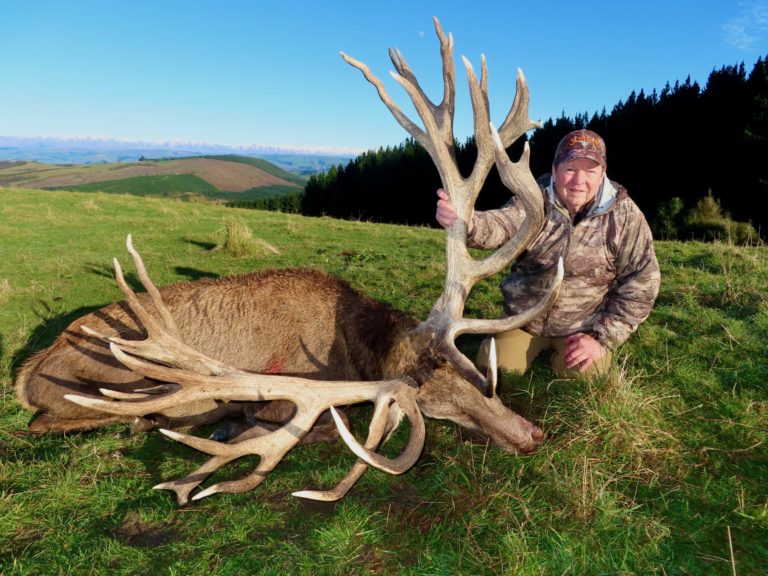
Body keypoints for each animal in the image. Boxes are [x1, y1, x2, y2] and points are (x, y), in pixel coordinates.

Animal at [14, 17, 563, 504]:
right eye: (433, 404)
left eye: (476, 377)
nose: (529, 435)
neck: (350, 349)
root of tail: (27, 373)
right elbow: (309, 426)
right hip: (108, 383)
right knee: (50, 421)